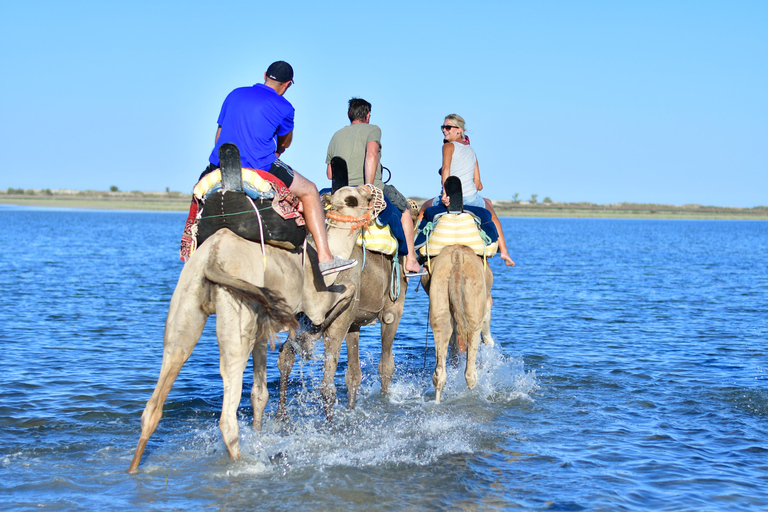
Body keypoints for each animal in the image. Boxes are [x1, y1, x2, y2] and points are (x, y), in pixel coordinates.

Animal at [127, 186, 374, 474]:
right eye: (354, 198)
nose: (373, 193)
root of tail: (213, 257)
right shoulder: (315, 300)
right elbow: (347, 292)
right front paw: (308, 338)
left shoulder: (261, 328)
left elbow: (259, 394)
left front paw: (259, 436)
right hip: (236, 313)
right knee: (227, 414)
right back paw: (244, 466)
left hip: (186, 304)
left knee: (159, 392)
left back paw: (133, 469)